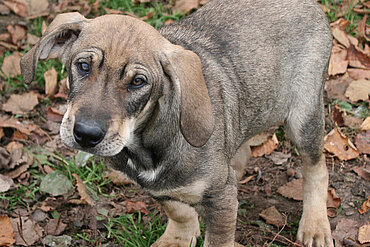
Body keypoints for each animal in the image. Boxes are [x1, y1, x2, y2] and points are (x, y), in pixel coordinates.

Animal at [20, 0, 334, 246]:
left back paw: (315, 225)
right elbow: (178, 210)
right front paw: (179, 237)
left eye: (138, 82)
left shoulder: (221, 200)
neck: (143, 144)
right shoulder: (157, 188)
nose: (85, 134)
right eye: (83, 66)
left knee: (316, 168)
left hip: (303, 116)